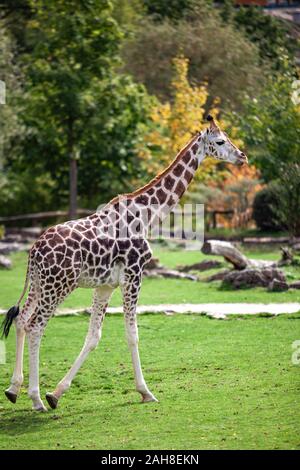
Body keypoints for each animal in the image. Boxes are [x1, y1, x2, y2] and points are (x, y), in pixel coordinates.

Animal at [1, 115, 247, 410]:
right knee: (36, 325)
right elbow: (132, 334)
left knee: (21, 319)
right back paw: (35, 398)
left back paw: (14, 389)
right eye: (220, 141)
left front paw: (57, 393)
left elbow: (93, 336)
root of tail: (34, 251)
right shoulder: (134, 275)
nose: (242, 157)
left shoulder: (105, 285)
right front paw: (145, 391)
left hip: (40, 284)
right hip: (59, 285)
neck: (148, 215)